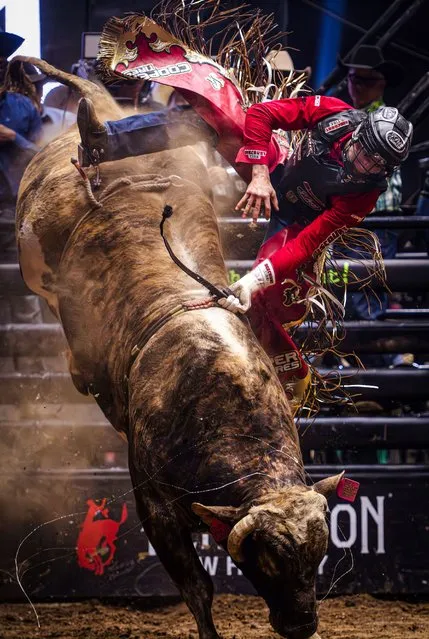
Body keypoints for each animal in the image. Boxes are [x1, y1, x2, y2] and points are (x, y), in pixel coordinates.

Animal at [15, 57, 342, 636]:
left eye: (318, 555)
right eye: (267, 560)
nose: (302, 624)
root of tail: (106, 106)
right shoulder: (154, 505)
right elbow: (196, 587)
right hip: (33, 248)